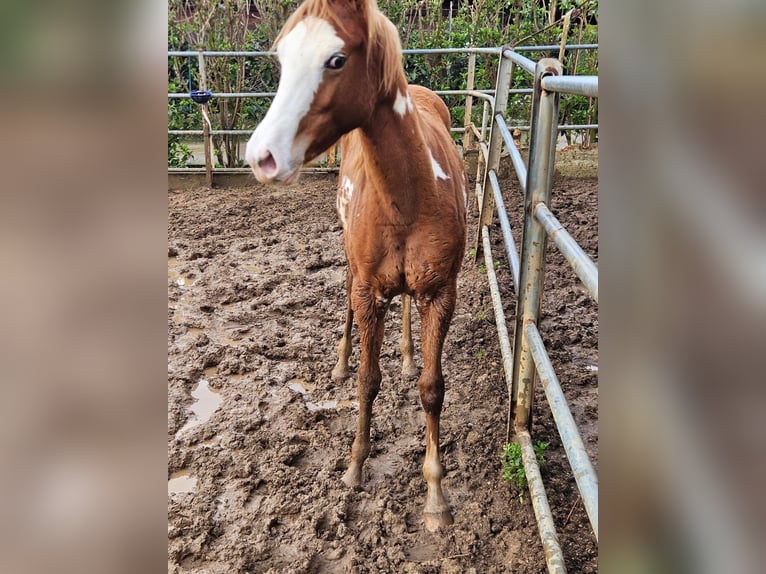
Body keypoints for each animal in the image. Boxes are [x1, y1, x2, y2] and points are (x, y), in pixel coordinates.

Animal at [248, 0, 468, 536]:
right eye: (282, 58)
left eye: (335, 60)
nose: (261, 156)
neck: (409, 194)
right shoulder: (369, 294)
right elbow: (369, 381)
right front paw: (354, 466)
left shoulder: (441, 295)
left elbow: (432, 389)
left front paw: (436, 499)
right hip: (353, 268)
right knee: (346, 303)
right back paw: (341, 362)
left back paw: (407, 354)